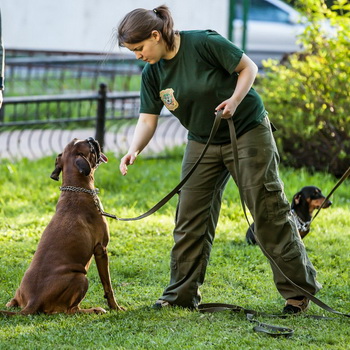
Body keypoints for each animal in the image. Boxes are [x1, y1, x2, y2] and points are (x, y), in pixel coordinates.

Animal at [2, 137, 123, 314]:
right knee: (71, 310)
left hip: (18, 293)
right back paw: (94, 310)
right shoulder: (101, 249)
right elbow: (108, 285)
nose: (92, 138)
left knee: (11, 302)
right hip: (81, 278)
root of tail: (33, 301)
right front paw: (115, 307)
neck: (77, 189)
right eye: (90, 147)